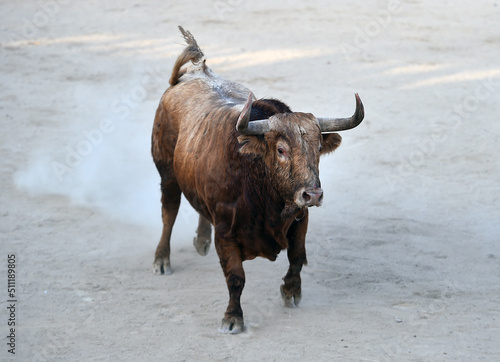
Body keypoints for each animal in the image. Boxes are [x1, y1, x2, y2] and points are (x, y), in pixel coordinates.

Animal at [150, 26, 366, 336]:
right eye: (281, 150)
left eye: (317, 148)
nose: (312, 195)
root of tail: (188, 77)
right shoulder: (226, 233)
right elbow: (235, 277)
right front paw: (233, 318)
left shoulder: (301, 219)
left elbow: (297, 257)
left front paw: (291, 292)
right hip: (166, 173)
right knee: (169, 211)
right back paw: (162, 260)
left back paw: (201, 240)